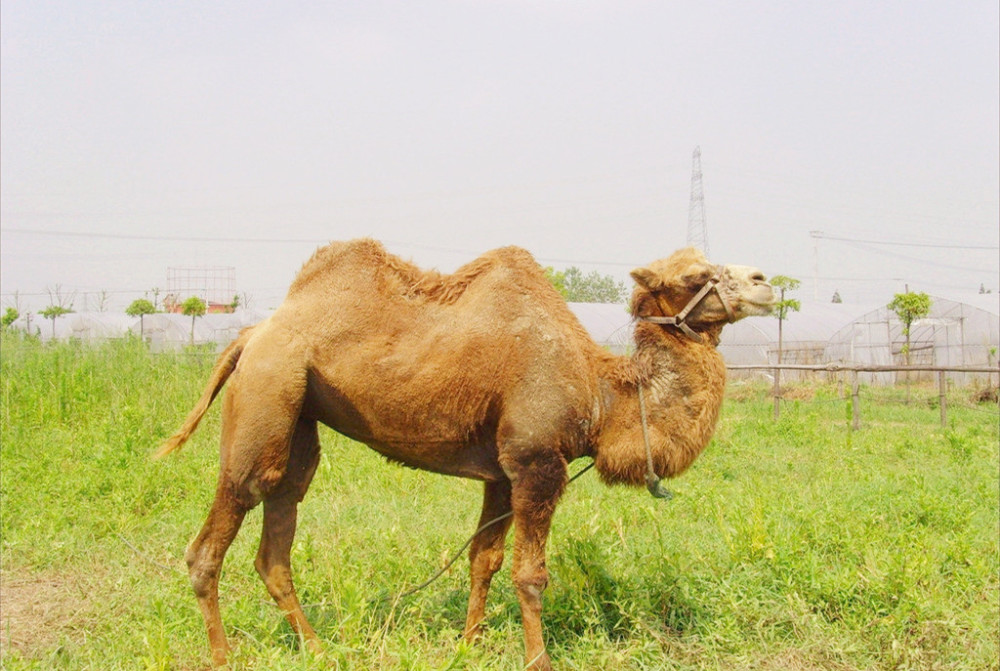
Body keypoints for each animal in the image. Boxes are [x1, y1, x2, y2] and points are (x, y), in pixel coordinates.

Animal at [160, 239, 776, 668]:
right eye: (695, 275)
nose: (765, 280)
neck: (600, 392)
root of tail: (251, 334)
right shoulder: (536, 462)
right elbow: (531, 573)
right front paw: (538, 659)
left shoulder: (502, 472)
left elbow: (486, 559)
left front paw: (469, 644)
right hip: (268, 390)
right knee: (219, 528)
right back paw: (223, 656)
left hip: (299, 414)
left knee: (279, 524)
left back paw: (317, 649)